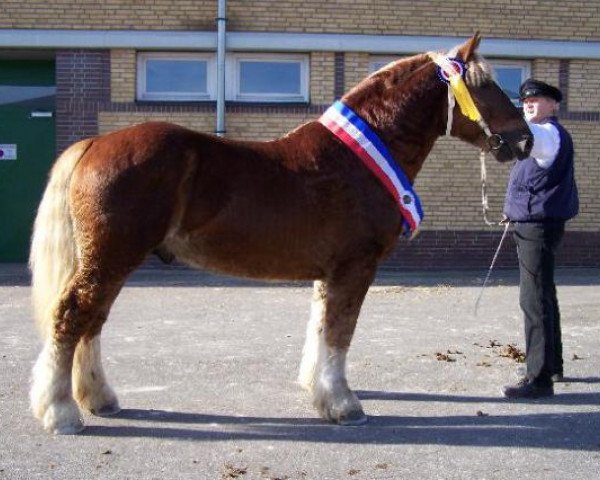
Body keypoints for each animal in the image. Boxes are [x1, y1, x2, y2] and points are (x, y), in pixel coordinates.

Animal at [30, 32, 532, 432]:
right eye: (485, 85)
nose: (525, 140)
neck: (357, 158)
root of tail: (94, 143)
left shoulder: (330, 272)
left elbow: (321, 328)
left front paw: (319, 391)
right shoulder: (355, 267)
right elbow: (340, 332)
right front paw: (344, 405)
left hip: (110, 260)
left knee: (92, 321)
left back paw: (98, 399)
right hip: (111, 257)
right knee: (72, 316)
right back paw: (61, 411)